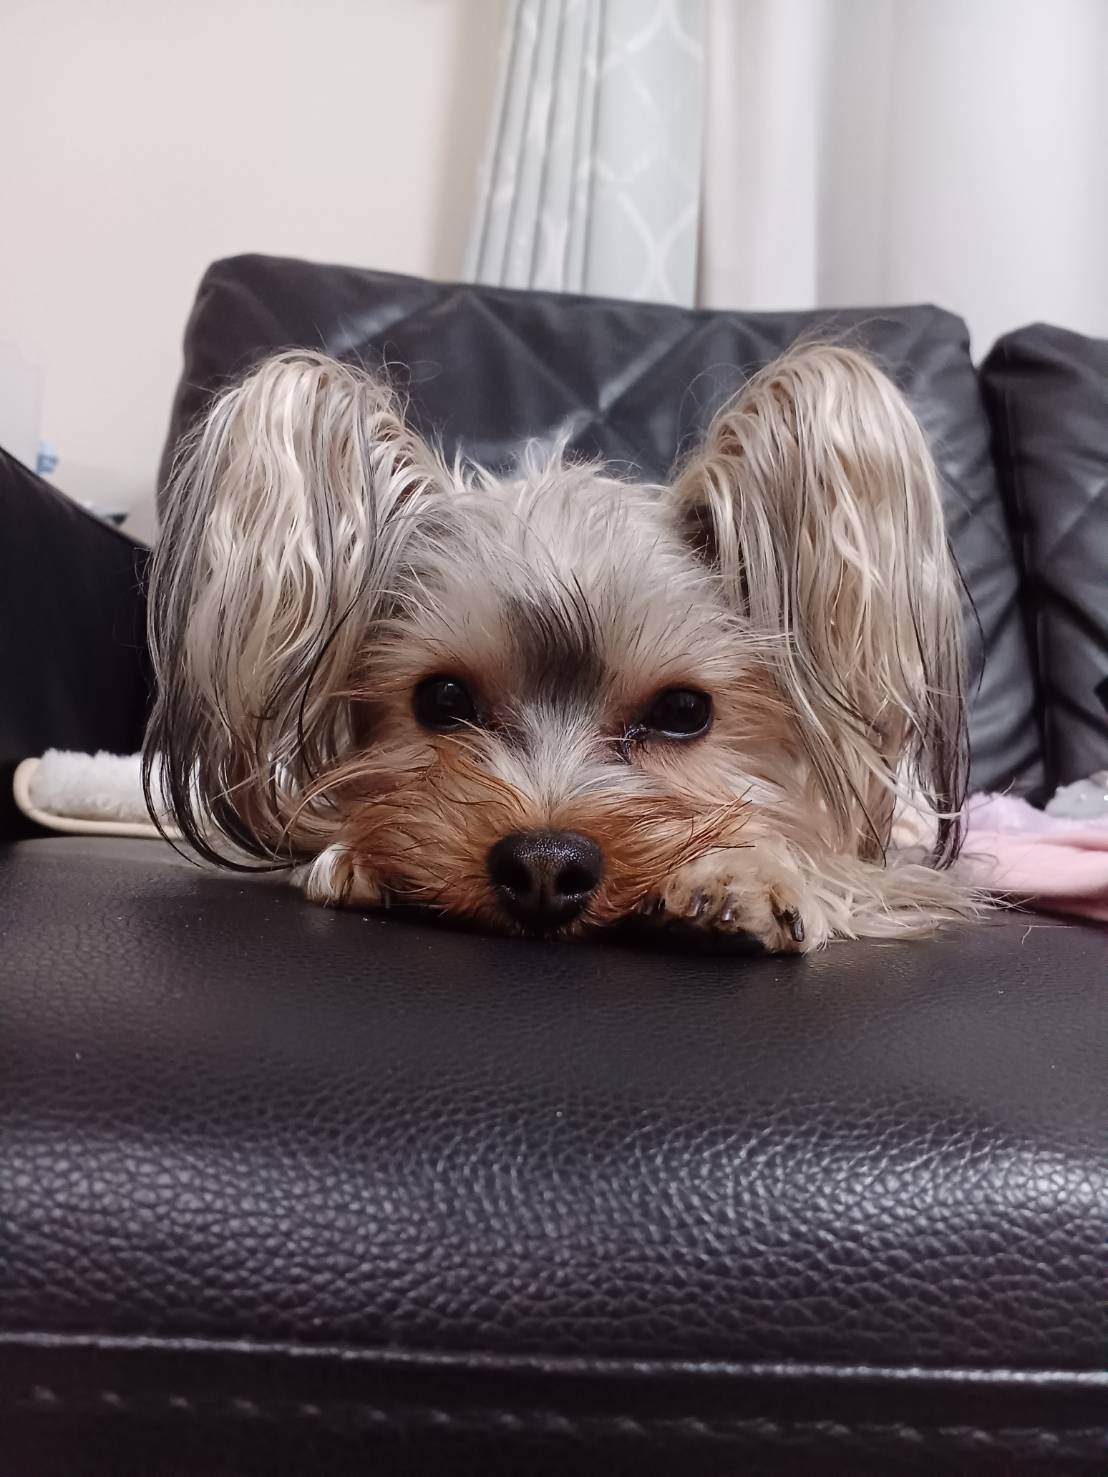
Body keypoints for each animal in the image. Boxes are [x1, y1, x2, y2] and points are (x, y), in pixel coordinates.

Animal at [143, 344, 974, 953]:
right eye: (442, 699)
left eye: (684, 712)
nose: (543, 868)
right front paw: (352, 856)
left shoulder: (889, 867)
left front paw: (744, 877)